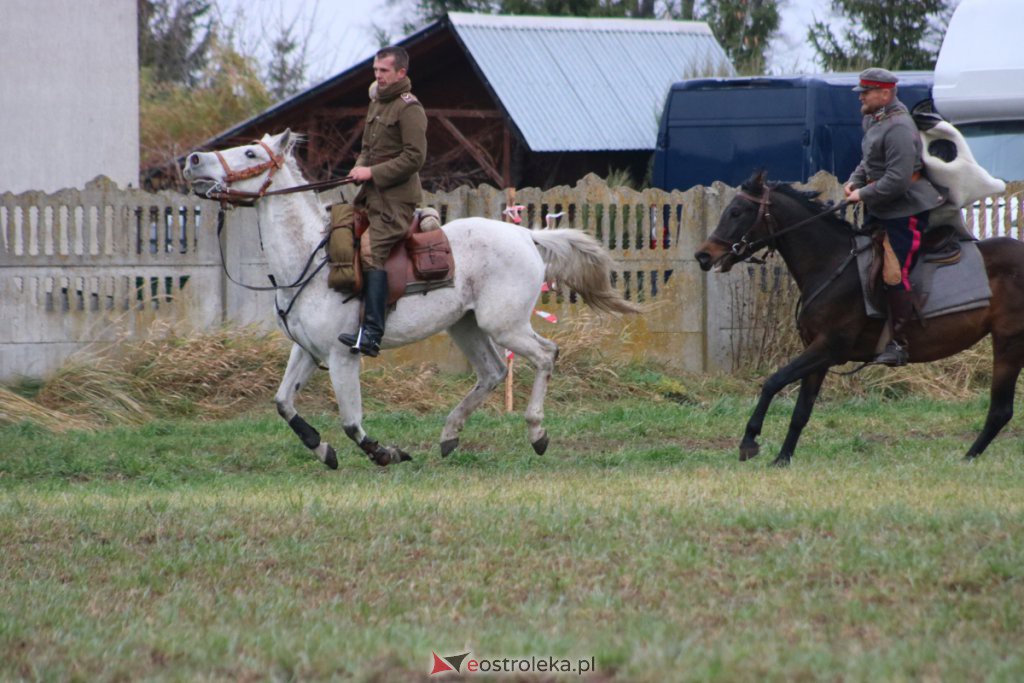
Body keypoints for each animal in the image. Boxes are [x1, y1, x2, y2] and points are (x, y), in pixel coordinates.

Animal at [180, 129, 634, 464]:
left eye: (250, 153)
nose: (193, 160)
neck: (310, 260)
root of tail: (526, 236)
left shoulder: (342, 356)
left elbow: (351, 421)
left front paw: (385, 453)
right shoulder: (306, 351)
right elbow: (283, 403)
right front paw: (323, 450)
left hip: (504, 325)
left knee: (545, 355)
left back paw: (537, 432)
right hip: (465, 326)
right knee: (492, 372)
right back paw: (449, 436)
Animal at [692, 174, 1024, 466]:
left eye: (737, 212)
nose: (703, 256)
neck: (832, 264)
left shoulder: (828, 347)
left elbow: (773, 382)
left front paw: (749, 440)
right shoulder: (819, 354)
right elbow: (801, 411)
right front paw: (782, 458)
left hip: (1009, 342)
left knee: (1000, 410)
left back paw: (968, 458)